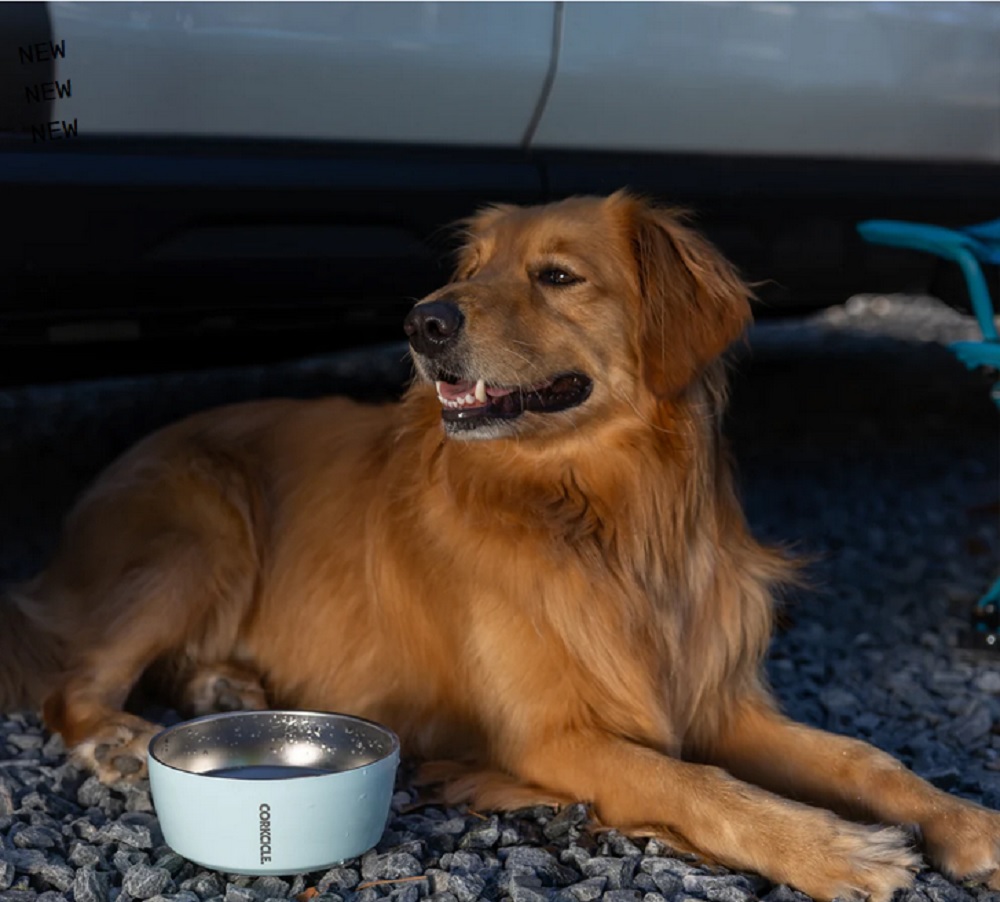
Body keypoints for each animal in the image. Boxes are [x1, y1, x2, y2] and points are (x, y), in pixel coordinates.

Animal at [1, 192, 1000, 896]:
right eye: (471, 269)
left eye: (557, 276)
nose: (422, 322)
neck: (606, 515)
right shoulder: (549, 733)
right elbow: (701, 785)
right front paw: (836, 848)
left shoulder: (717, 700)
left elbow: (864, 758)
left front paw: (964, 822)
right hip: (204, 522)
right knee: (69, 685)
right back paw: (119, 743)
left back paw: (224, 686)